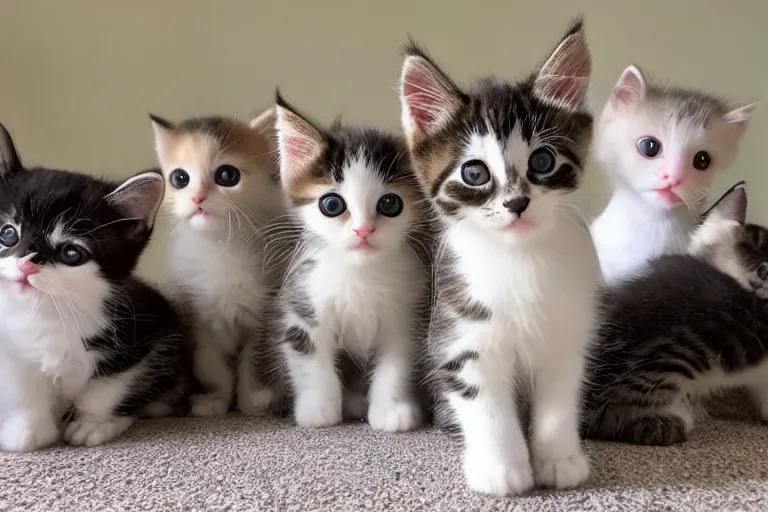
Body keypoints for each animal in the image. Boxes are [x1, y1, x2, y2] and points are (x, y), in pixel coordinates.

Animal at [0, 122, 190, 450]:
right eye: (8, 234)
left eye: (71, 253)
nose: (26, 265)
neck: (49, 312)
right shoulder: (8, 343)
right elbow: (22, 383)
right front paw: (29, 429)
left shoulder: (146, 332)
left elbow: (108, 386)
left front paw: (93, 423)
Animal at [149, 110, 284, 418]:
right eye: (180, 178)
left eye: (226, 175)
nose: (197, 197)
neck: (221, 246)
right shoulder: (199, 323)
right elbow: (214, 369)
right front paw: (215, 401)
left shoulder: (263, 317)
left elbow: (252, 362)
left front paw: (252, 401)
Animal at [400, 20, 604, 496]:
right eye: (474, 173)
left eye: (543, 161)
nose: (517, 203)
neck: (520, 259)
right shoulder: (462, 335)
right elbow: (486, 407)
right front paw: (501, 469)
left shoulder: (568, 335)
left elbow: (558, 402)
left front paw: (559, 459)